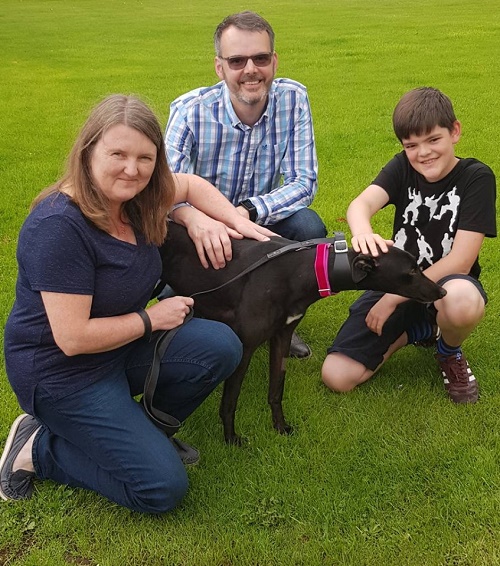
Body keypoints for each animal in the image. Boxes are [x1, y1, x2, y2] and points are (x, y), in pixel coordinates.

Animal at [159, 224, 446, 446]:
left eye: (417, 266)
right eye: (411, 271)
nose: (442, 292)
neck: (300, 272)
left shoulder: (282, 337)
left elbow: (276, 390)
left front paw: (280, 427)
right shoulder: (245, 345)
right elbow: (230, 401)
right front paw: (231, 440)